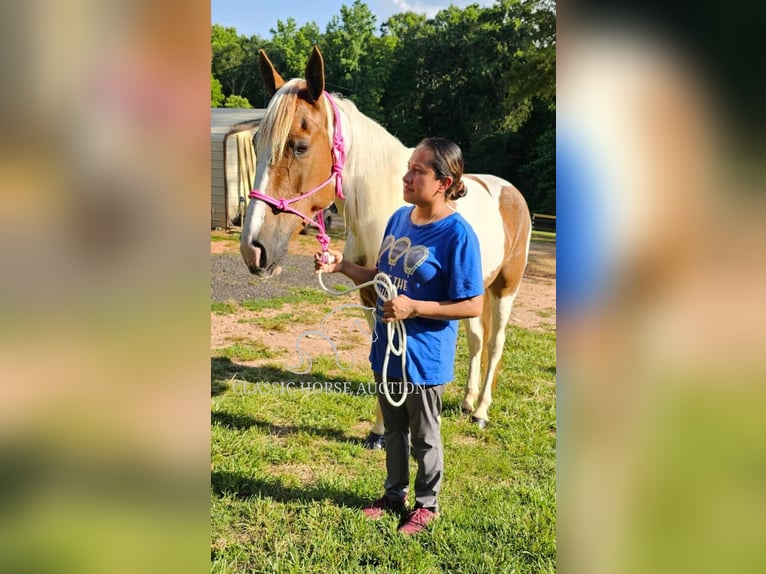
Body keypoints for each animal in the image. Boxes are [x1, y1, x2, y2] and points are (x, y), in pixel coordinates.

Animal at [243, 47, 532, 448]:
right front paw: (379, 432)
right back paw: (467, 400)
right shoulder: (371, 297)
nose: (253, 249)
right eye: (256, 145)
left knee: (495, 344)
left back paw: (481, 412)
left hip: (506, 287)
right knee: (476, 340)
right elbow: (380, 359)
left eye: (299, 147)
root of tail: (509, 190)